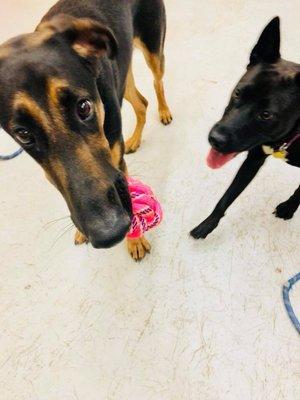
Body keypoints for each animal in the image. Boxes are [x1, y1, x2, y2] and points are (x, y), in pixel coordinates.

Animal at [0, 0, 171, 260]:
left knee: (157, 82)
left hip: (153, 51)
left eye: (84, 107)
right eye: (23, 134)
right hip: (122, 75)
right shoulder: (53, 174)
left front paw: (135, 240)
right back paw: (134, 139)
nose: (109, 232)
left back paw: (164, 111)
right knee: (141, 103)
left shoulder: (115, 158)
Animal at [191, 17, 298, 239]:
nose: (215, 139)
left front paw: (289, 207)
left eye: (266, 114)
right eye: (238, 92)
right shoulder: (253, 159)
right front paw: (208, 224)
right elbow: (227, 196)